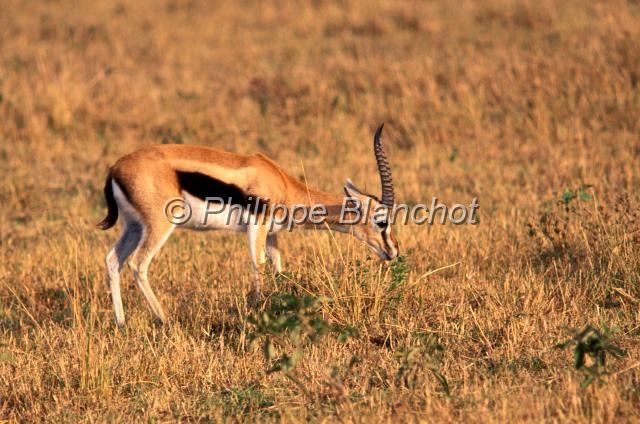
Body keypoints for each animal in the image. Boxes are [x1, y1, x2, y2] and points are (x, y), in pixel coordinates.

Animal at [98, 124, 398, 326]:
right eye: (381, 221)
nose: (393, 251)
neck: (282, 183)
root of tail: (115, 169)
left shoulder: (272, 233)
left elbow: (278, 267)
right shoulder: (257, 225)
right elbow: (259, 265)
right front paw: (258, 311)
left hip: (134, 226)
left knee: (113, 259)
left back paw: (121, 323)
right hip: (159, 225)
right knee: (138, 264)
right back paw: (165, 320)